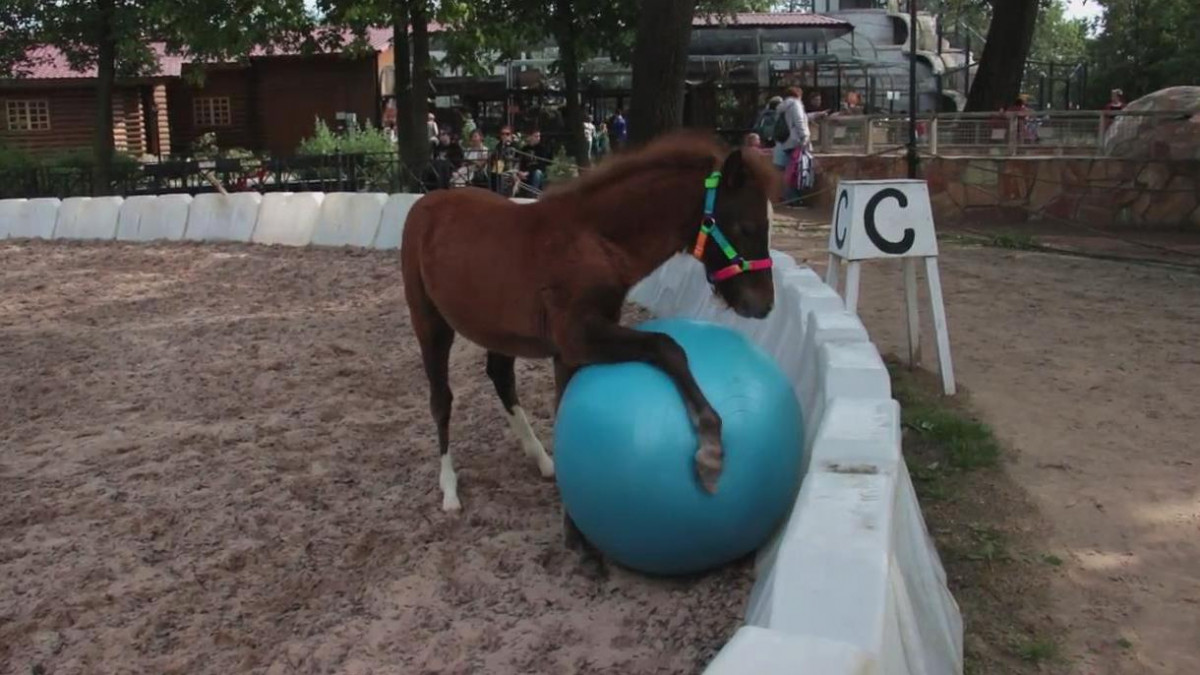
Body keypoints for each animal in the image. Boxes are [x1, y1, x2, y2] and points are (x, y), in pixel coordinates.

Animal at [400, 131, 777, 521]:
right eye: (747, 227)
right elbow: (666, 346)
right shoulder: (577, 339)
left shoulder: (572, 350)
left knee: (501, 377)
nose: (763, 304)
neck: (595, 240)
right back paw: (449, 487)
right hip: (429, 322)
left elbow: (564, 405)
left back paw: (542, 460)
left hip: (499, 331)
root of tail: (426, 201)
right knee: (441, 398)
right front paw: (711, 450)